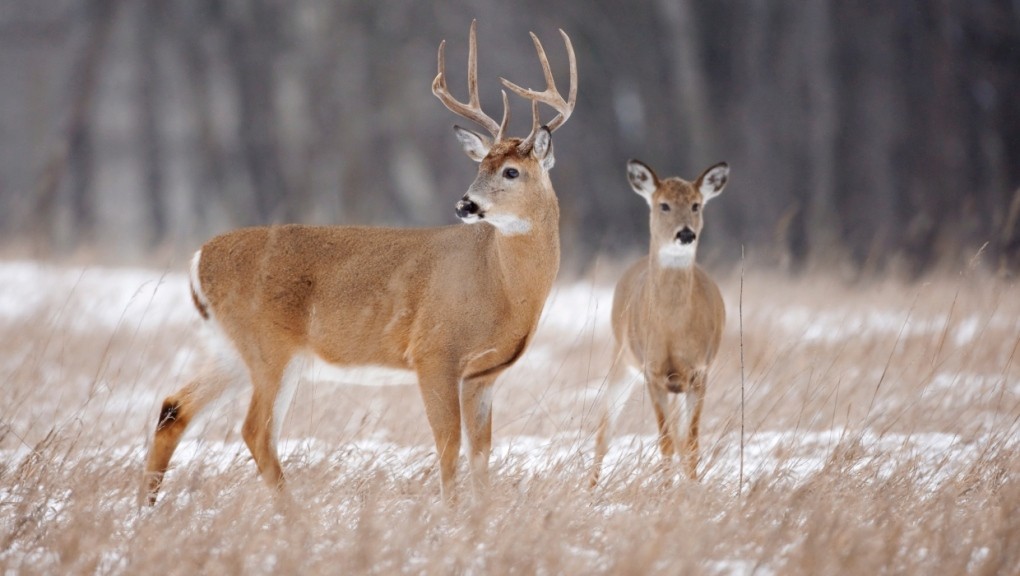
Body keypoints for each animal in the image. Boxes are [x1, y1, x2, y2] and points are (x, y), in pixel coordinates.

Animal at [142, 20, 576, 505]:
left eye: (511, 171)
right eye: (480, 165)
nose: (465, 204)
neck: (502, 287)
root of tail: (199, 259)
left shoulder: (483, 375)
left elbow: (481, 455)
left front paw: (482, 514)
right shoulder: (433, 352)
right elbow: (448, 447)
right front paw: (451, 512)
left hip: (229, 347)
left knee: (174, 407)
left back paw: (146, 509)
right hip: (269, 345)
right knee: (256, 430)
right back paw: (295, 515)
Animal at [591, 159, 729, 487]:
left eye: (696, 204)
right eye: (663, 205)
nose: (686, 234)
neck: (672, 330)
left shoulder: (699, 371)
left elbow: (690, 443)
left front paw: (691, 489)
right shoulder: (652, 371)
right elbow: (665, 442)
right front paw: (666, 491)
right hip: (622, 358)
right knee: (604, 432)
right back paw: (589, 488)